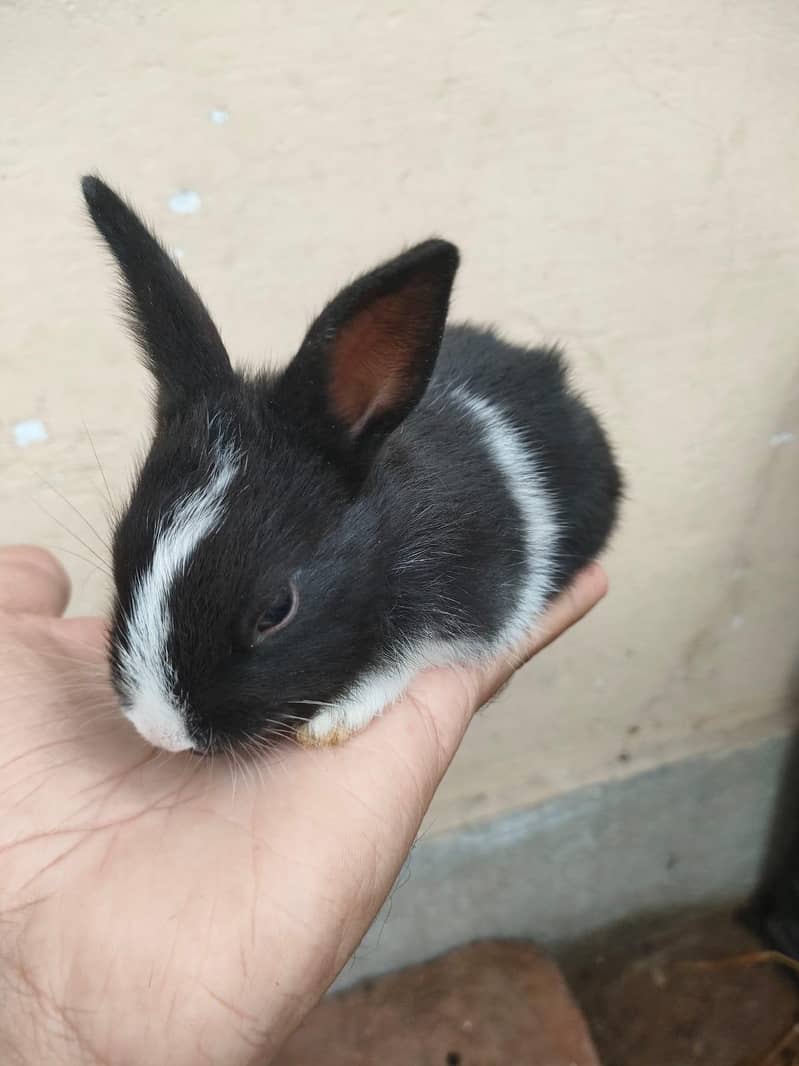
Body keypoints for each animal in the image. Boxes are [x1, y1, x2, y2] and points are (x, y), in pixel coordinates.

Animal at [81, 175, 622, 756]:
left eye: (277, 611)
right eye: (119, 552)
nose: (160, 730)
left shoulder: (483, 601)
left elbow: (419, 649)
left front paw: (334, 718)